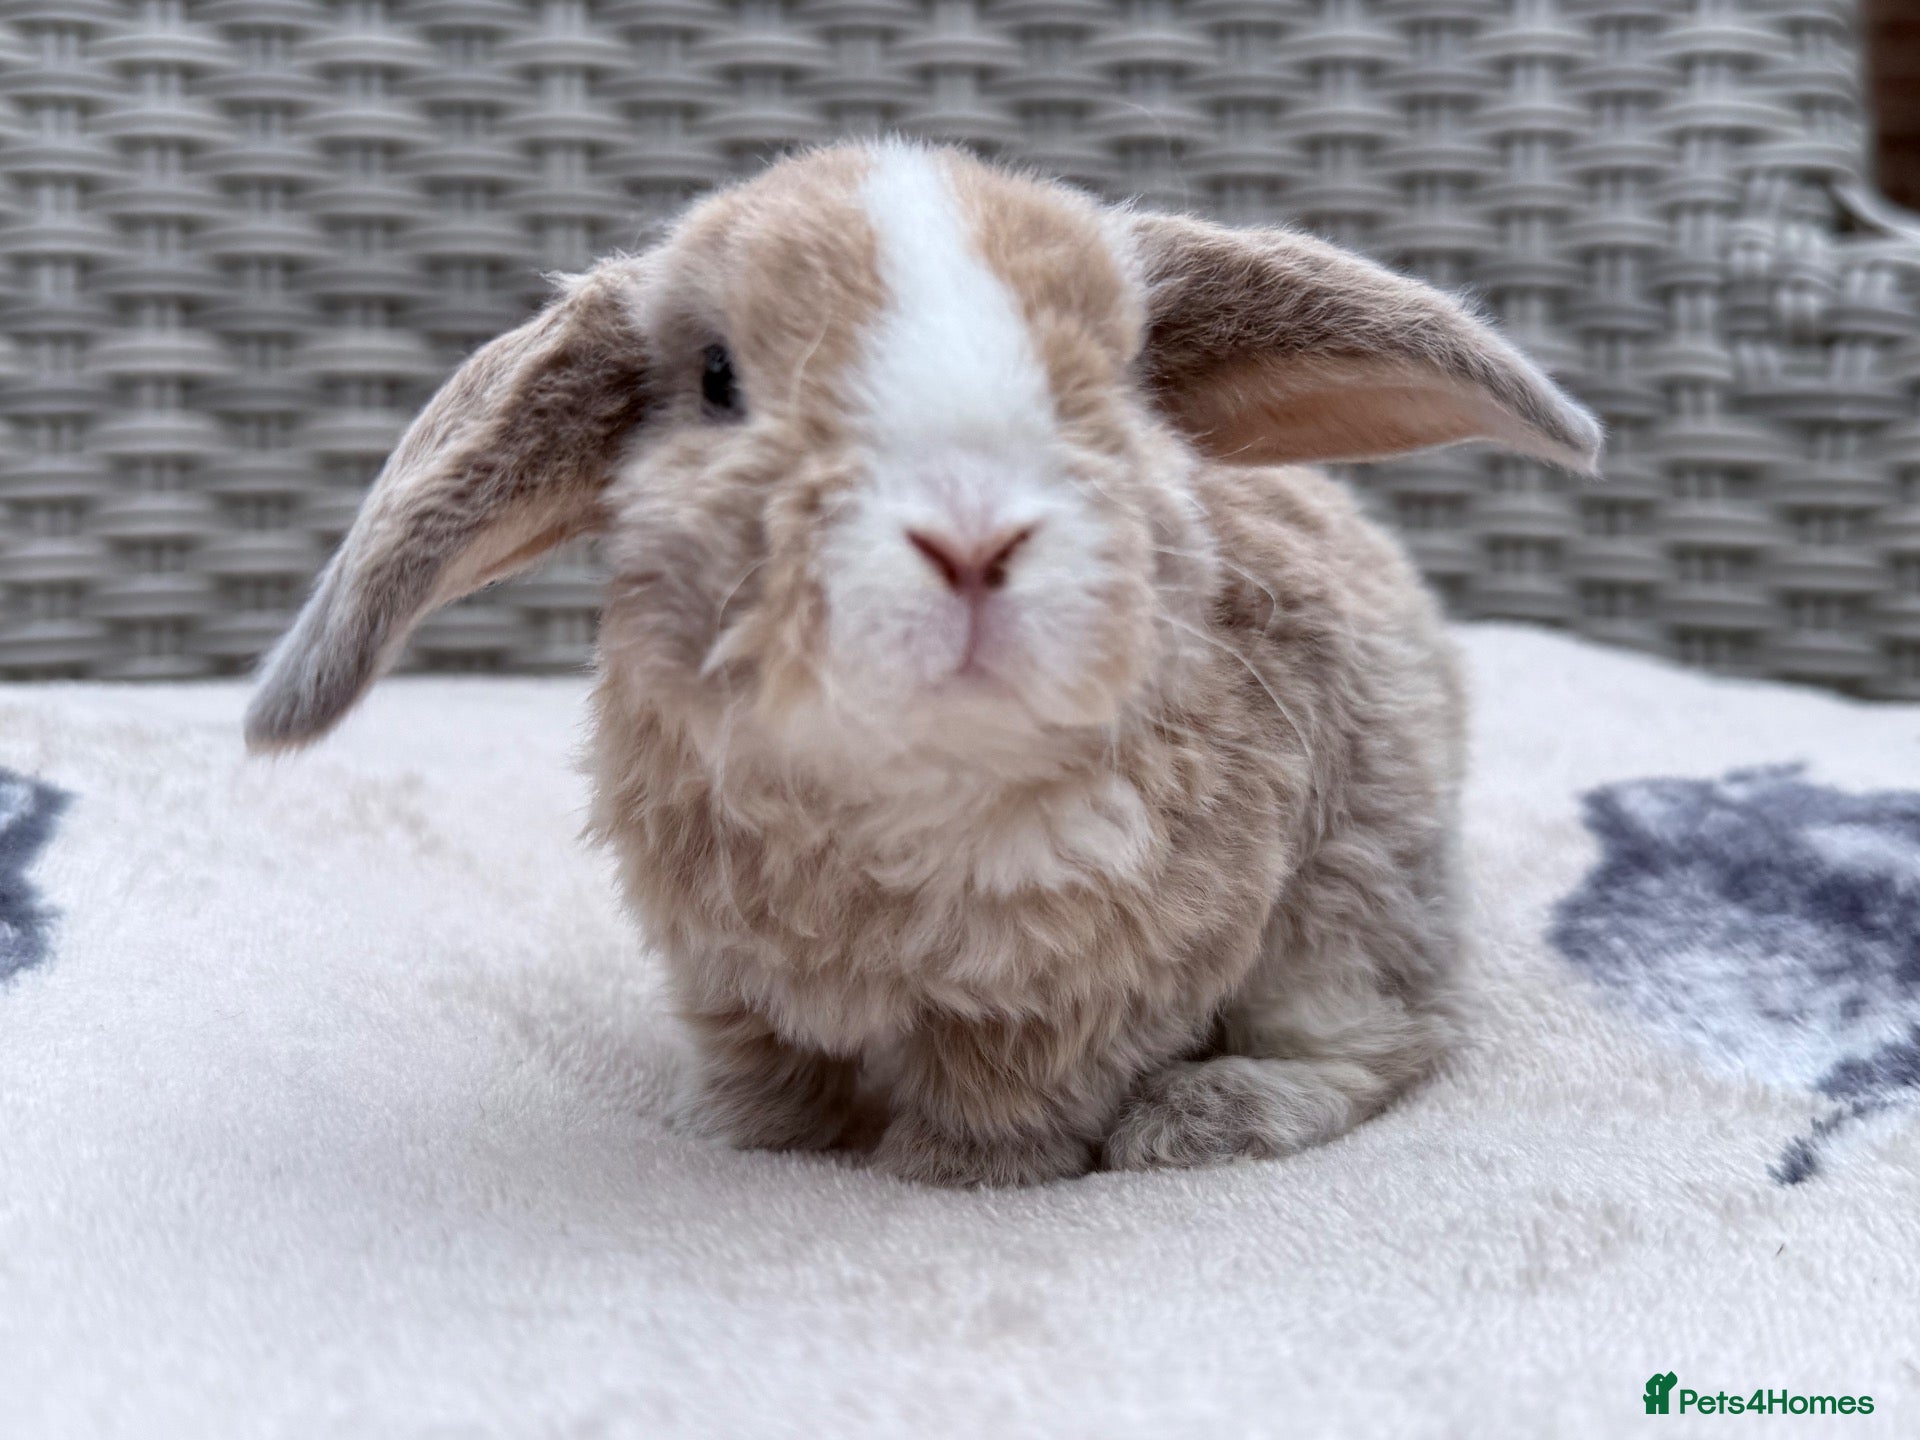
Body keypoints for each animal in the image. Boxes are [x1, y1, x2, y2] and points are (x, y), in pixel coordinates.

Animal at [246, 141, 1600, 1187]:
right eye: (718, 379)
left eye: (1115, 378)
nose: (973, 537)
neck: (905, 783)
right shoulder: (729, 981)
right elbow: (771, 1079)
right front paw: (753, 1142)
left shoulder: (1080, 996)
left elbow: (1007, 1094)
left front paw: (948, 1174)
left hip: (1352, 904)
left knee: (1391, 1045)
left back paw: (1201, 1121)